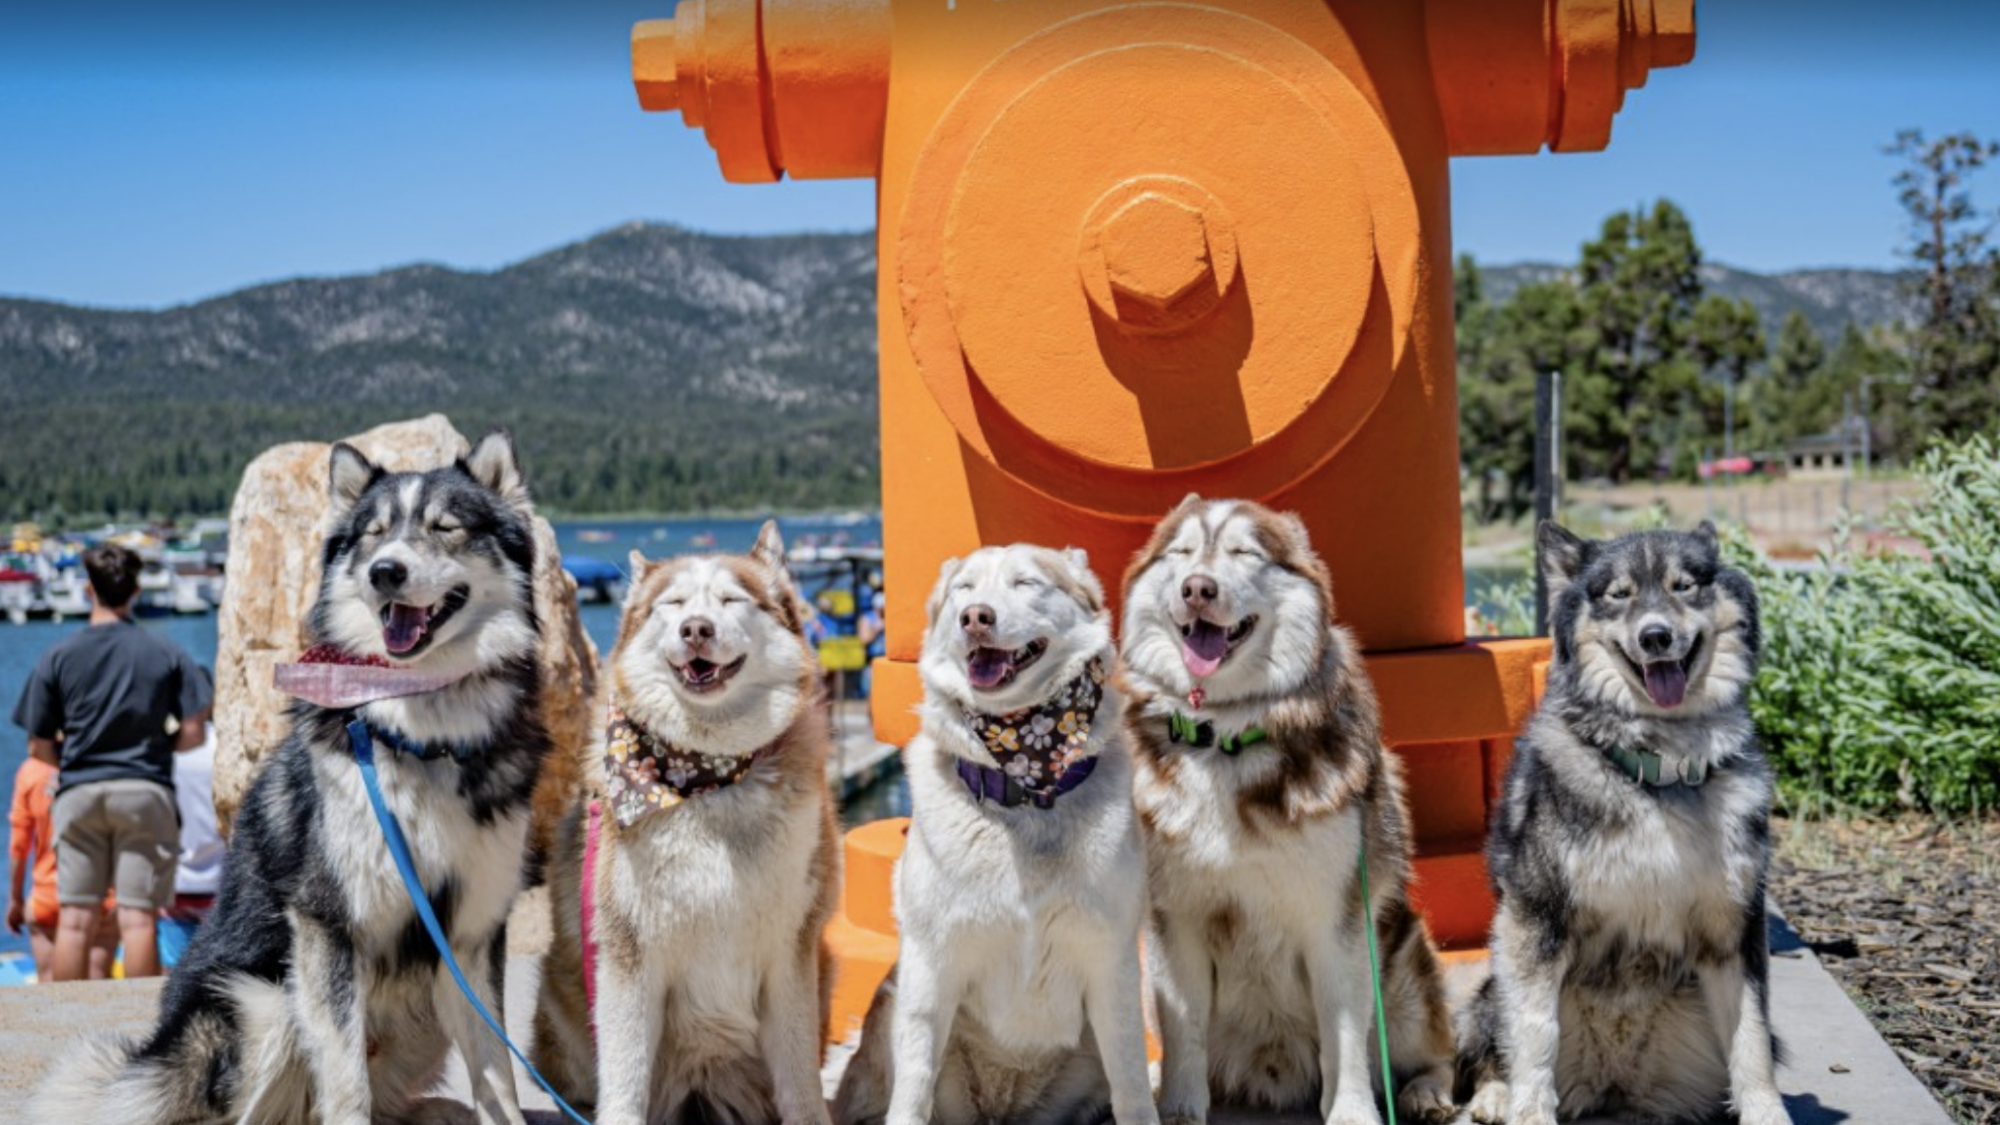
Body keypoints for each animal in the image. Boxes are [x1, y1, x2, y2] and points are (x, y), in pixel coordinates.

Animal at [39, 426, 552, 1120]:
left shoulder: (470, 929)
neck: (422, 733)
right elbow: (344, 1078)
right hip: (261, 999)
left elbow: (496, 1069)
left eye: (445, 527)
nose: (385, 571)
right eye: (373, 534)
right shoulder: (327, 922)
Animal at [528, 520, 840, 1120]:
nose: (696, 629)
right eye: (672, 604)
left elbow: (798, 1076)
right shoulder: (626, 950)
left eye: (731, 600)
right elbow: (624, 1073)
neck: (705, 781)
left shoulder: (791, 946)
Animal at [832, 544, 1160, 1120]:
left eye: (1026, 583)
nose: (975, 618)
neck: (1023, 786)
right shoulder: (929, 966)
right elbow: (913, 1088)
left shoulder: (1111, 964)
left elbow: (1132, 1085)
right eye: (964, 589)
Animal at [1128, 494, 1456, 1120]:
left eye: (1243, 553)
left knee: (1439, 1050)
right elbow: (1184, 1031)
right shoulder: (1174, 918)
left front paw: (1351, 1112)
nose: (1197, 588)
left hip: (1405, 964)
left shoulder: (1337, 918)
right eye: (1181, 553)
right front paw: (1178, 1107)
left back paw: (1427, 1091)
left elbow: (1344, 1034)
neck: (1226, 735)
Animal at [1456, 520, 1800, 1112]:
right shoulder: (1534, 916)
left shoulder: (1734, 925)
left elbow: (1752, 1037)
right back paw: (1490, 1096)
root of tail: (1612, 1080)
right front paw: (1528, 1111)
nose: (1655, 637)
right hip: (1492, 986)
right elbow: (1534, 1030)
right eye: (1619, 595)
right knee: (1490, 1046)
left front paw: (1766, 1113)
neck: (1660, 775)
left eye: (1684, 585)